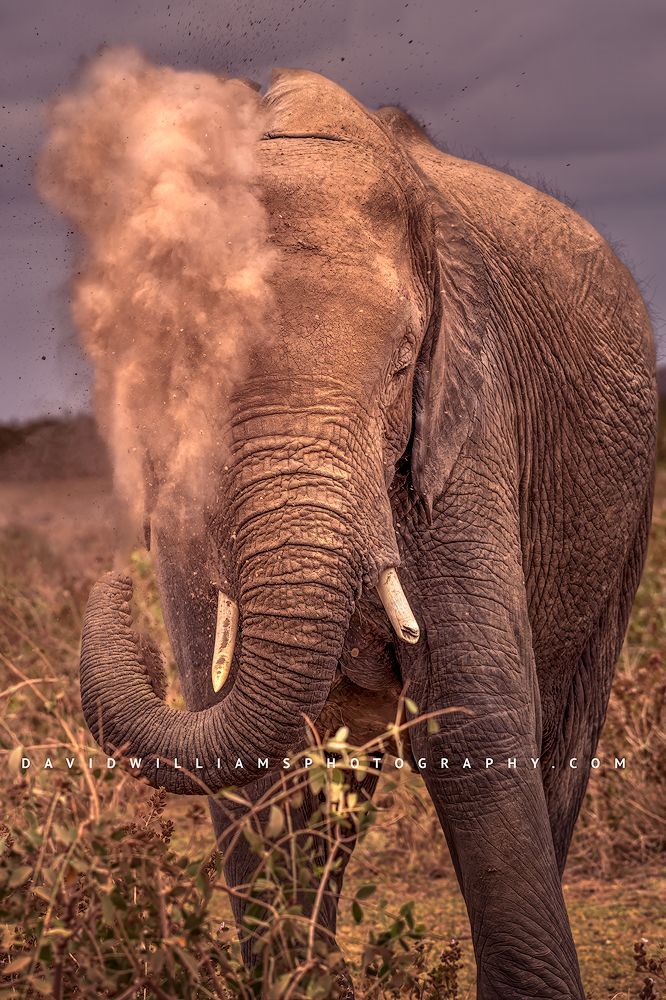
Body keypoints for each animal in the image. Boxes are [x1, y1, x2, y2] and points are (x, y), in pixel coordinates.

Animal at [78, 70, 657, 998]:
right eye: (197, 372)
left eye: (398, 367)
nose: (113, 591)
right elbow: (246, 750)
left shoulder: (466, 423)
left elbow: (474, 719)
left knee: (565, 736)